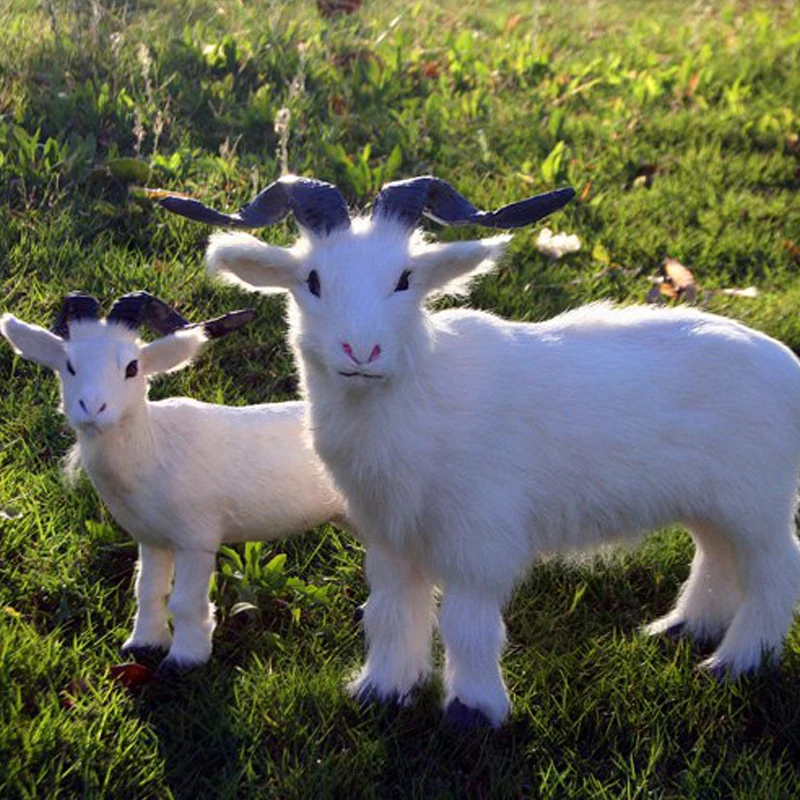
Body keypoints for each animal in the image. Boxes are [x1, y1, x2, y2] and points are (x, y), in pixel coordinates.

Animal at [1, 292, 342, 672]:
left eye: (132, 367)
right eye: (69, 366)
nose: (92, 408)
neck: (155, 447)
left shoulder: (196, 540)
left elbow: (184, 602)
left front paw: (185, 659)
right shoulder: (151, 539)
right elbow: (148, 590)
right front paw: (142, 644)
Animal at [161, 175, 800, 726]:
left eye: (405, 279)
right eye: (312, 280)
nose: (361, 351)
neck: (420, 394)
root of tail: (785, 364)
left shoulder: (478, 541)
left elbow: (467, 624)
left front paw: (472, 712)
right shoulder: (392, 541)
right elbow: (392, 614)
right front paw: (381, 691)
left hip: (758, 506)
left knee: (775, 572)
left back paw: (734, 663)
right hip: (715, 506)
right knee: (716, 558)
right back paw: (681, 630)